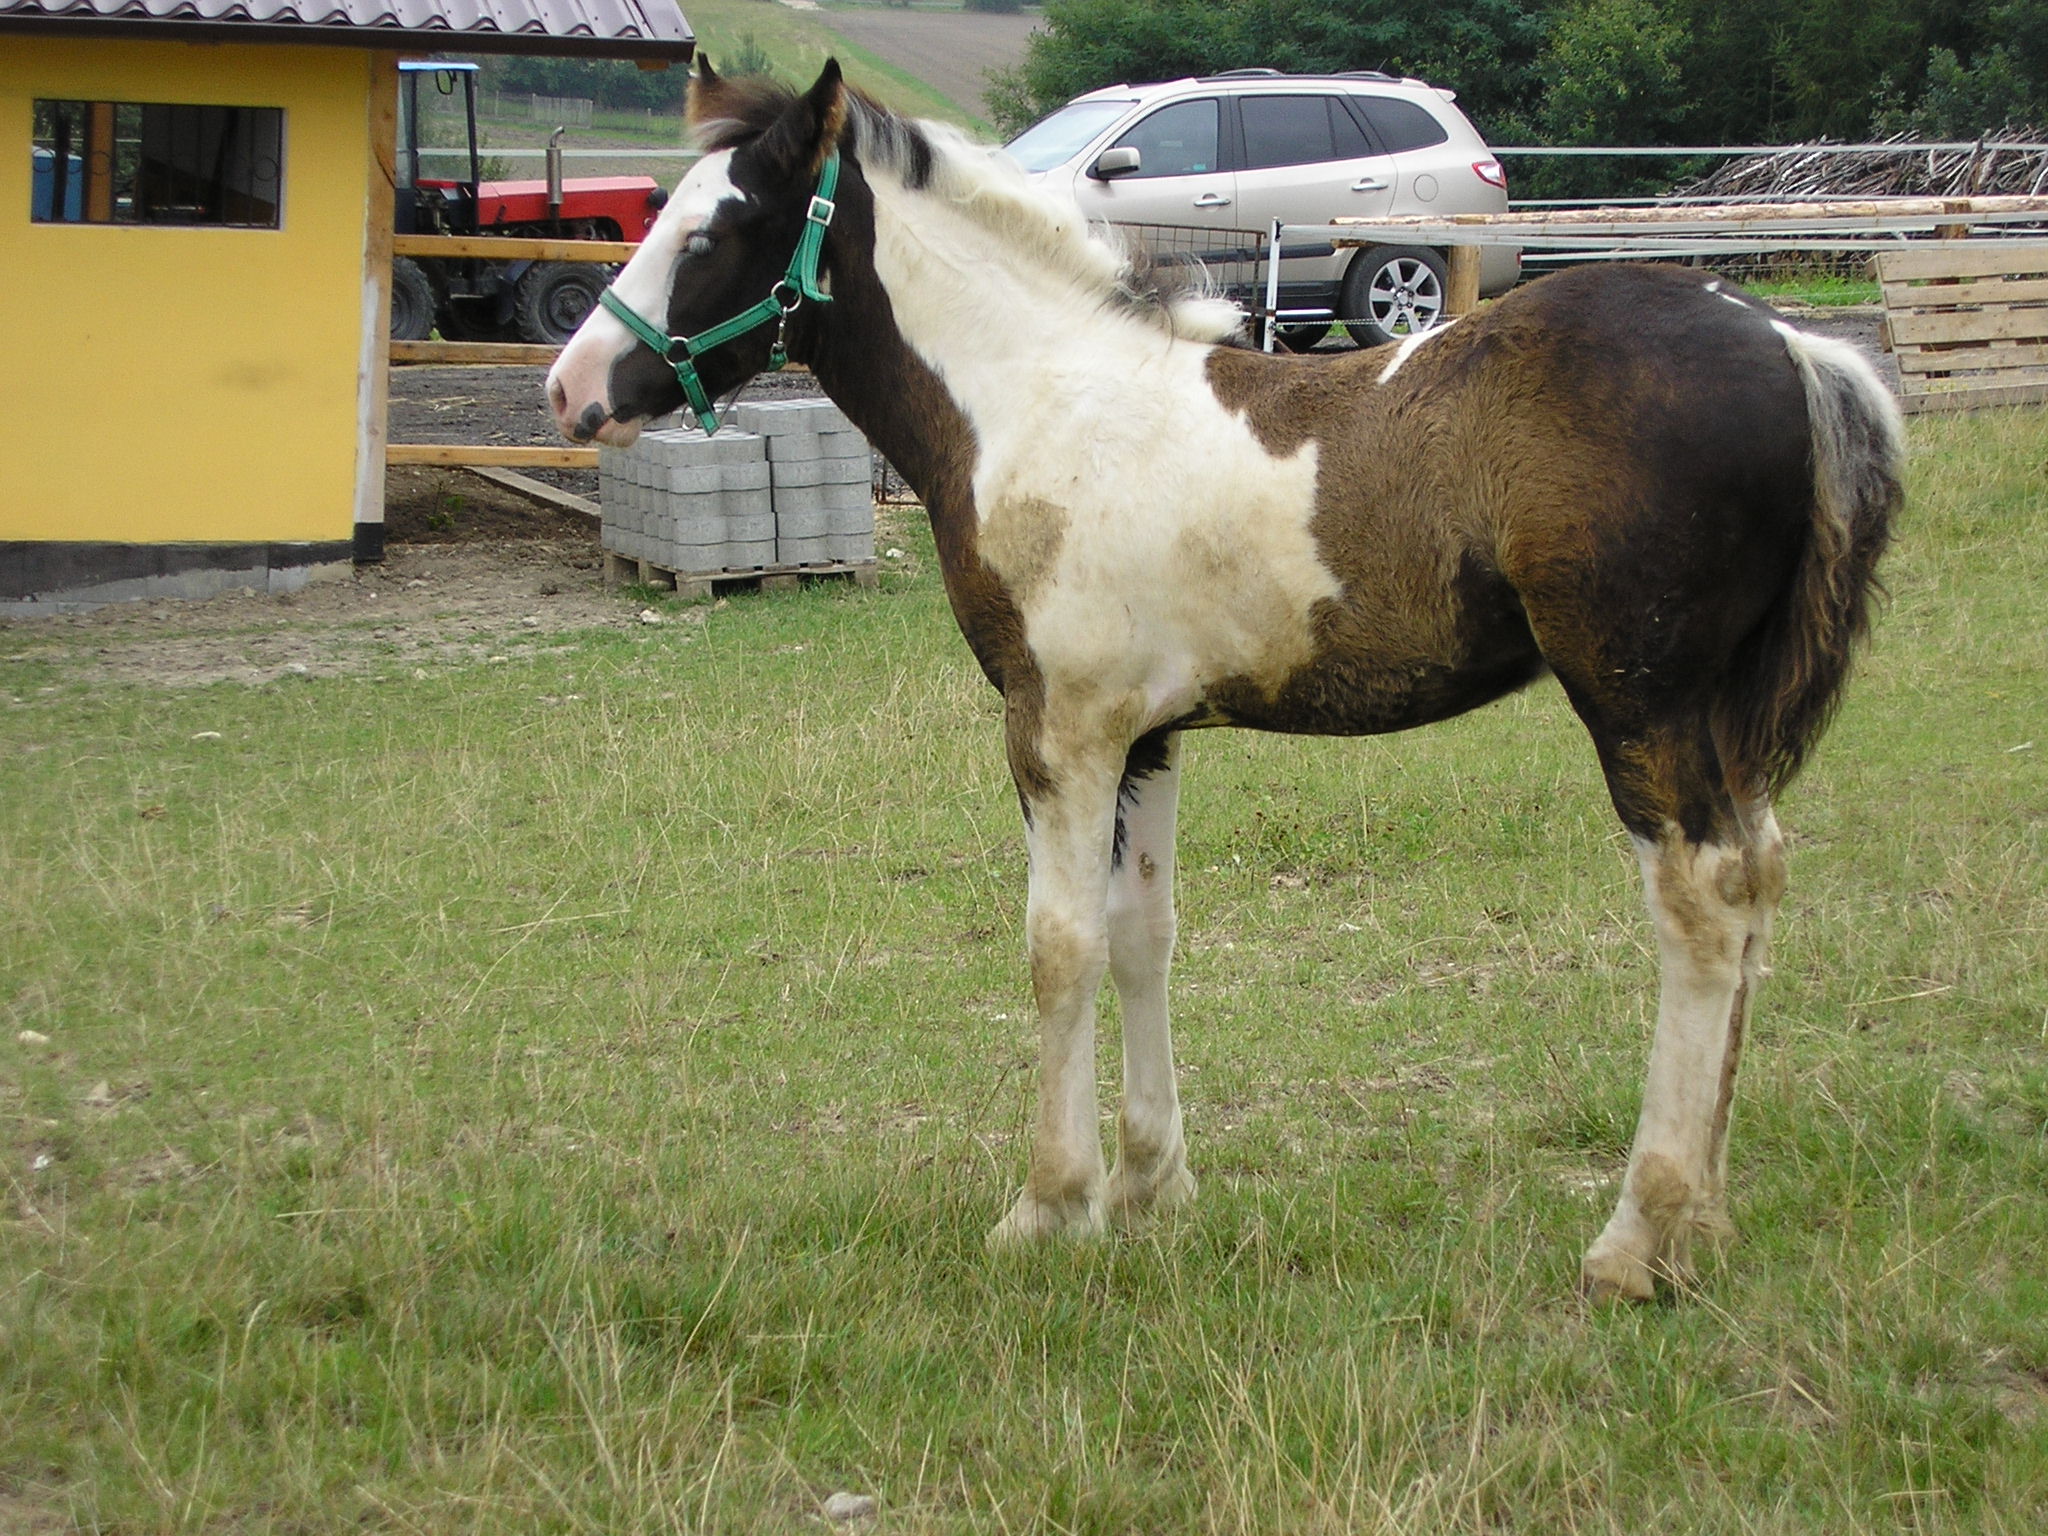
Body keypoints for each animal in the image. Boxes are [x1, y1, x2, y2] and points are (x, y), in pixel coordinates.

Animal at [544, 57, 1900, 1302]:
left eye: (713, 231)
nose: (570, 390)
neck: (1040, 404)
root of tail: (1789, 342)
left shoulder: (1059, 730)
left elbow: (1059, 947)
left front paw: (1048, 1205)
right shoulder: (1147, 735)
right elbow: (1142, 935)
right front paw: (1151, 1186)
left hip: (1638, 706)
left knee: (1700, 908)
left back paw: (1633, 1240)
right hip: (1718, 717)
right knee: (1757, 877)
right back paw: (1705, 1223)